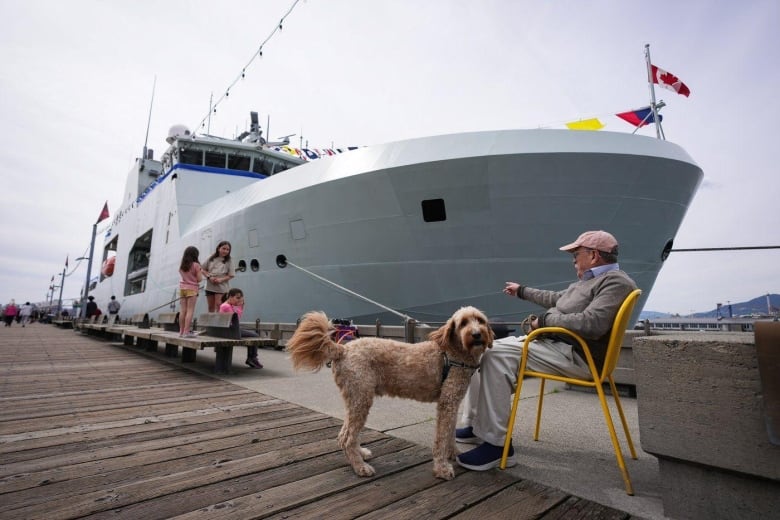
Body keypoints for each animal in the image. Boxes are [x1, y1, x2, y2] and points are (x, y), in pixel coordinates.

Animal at [286, 306, 494, 482]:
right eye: (463, 323)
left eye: (480, 321)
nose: (477, 334)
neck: (454, 354)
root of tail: (343, 349)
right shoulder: (447, 403)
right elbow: (441, 438)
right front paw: (442, 468)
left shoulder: (452, 403)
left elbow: (449, 433)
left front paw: (455, 453)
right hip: (361, 397)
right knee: (347, 437)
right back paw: (360, 467)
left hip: (356, 397)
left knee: (345, 434)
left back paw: (360, 454)